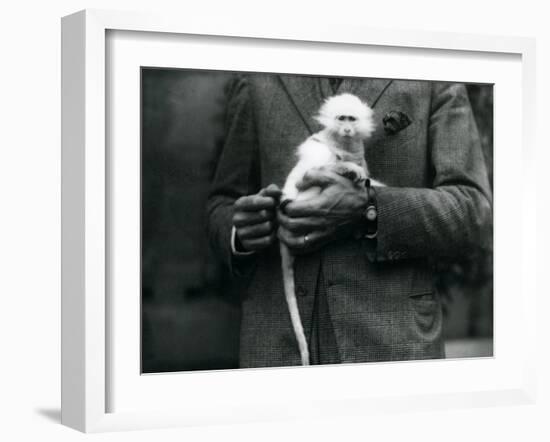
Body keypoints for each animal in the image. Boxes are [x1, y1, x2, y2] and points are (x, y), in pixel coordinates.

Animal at [280, 91, 384, 364]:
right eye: (341, 119)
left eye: (352, 119)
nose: (347, 129)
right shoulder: (322, 143)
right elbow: (318, 156)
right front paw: (347, 169)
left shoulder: (357, 150)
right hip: (302, 195)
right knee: (315, 165)